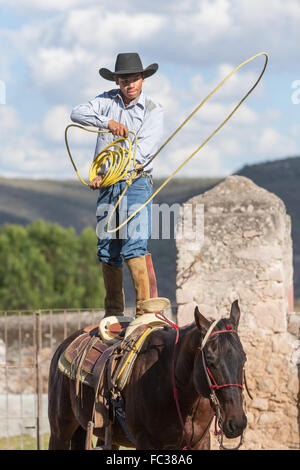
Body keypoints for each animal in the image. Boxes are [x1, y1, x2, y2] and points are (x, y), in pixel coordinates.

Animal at [48, 300, 247, 450]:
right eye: (210, 360)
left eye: (243, 359)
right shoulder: (146, 442)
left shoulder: (200, 442)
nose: (237, 423)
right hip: (60, 432)